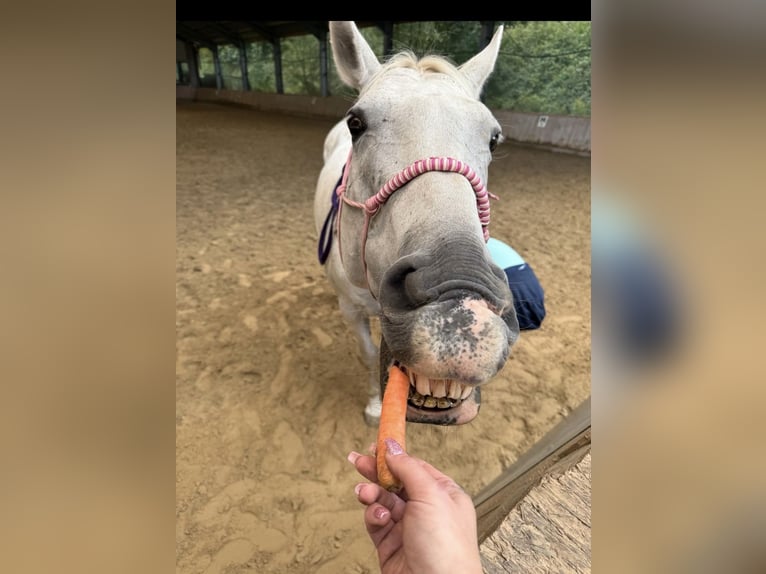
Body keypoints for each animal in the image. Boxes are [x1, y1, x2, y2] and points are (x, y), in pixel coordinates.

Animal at [314, 21, 519, 427]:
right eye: (356, 123)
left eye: (494, 137)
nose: (458, 309)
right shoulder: (351, 310)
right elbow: (367, 352)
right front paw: (375, 405)